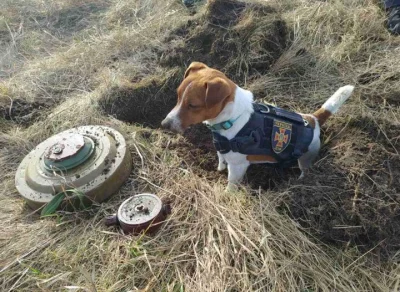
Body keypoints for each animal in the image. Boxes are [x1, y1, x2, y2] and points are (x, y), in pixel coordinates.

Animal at [161, 61, 354, 189]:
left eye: (193, 105)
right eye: (178, 96)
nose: (164, 124)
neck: (233, 118)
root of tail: (313, 119)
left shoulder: (237, 167)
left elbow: (231, 184)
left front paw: (227, 194)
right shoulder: (222, 149)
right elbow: (221, 159)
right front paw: (219, 169)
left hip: (306, 157)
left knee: (305, 169)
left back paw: (300, 181)